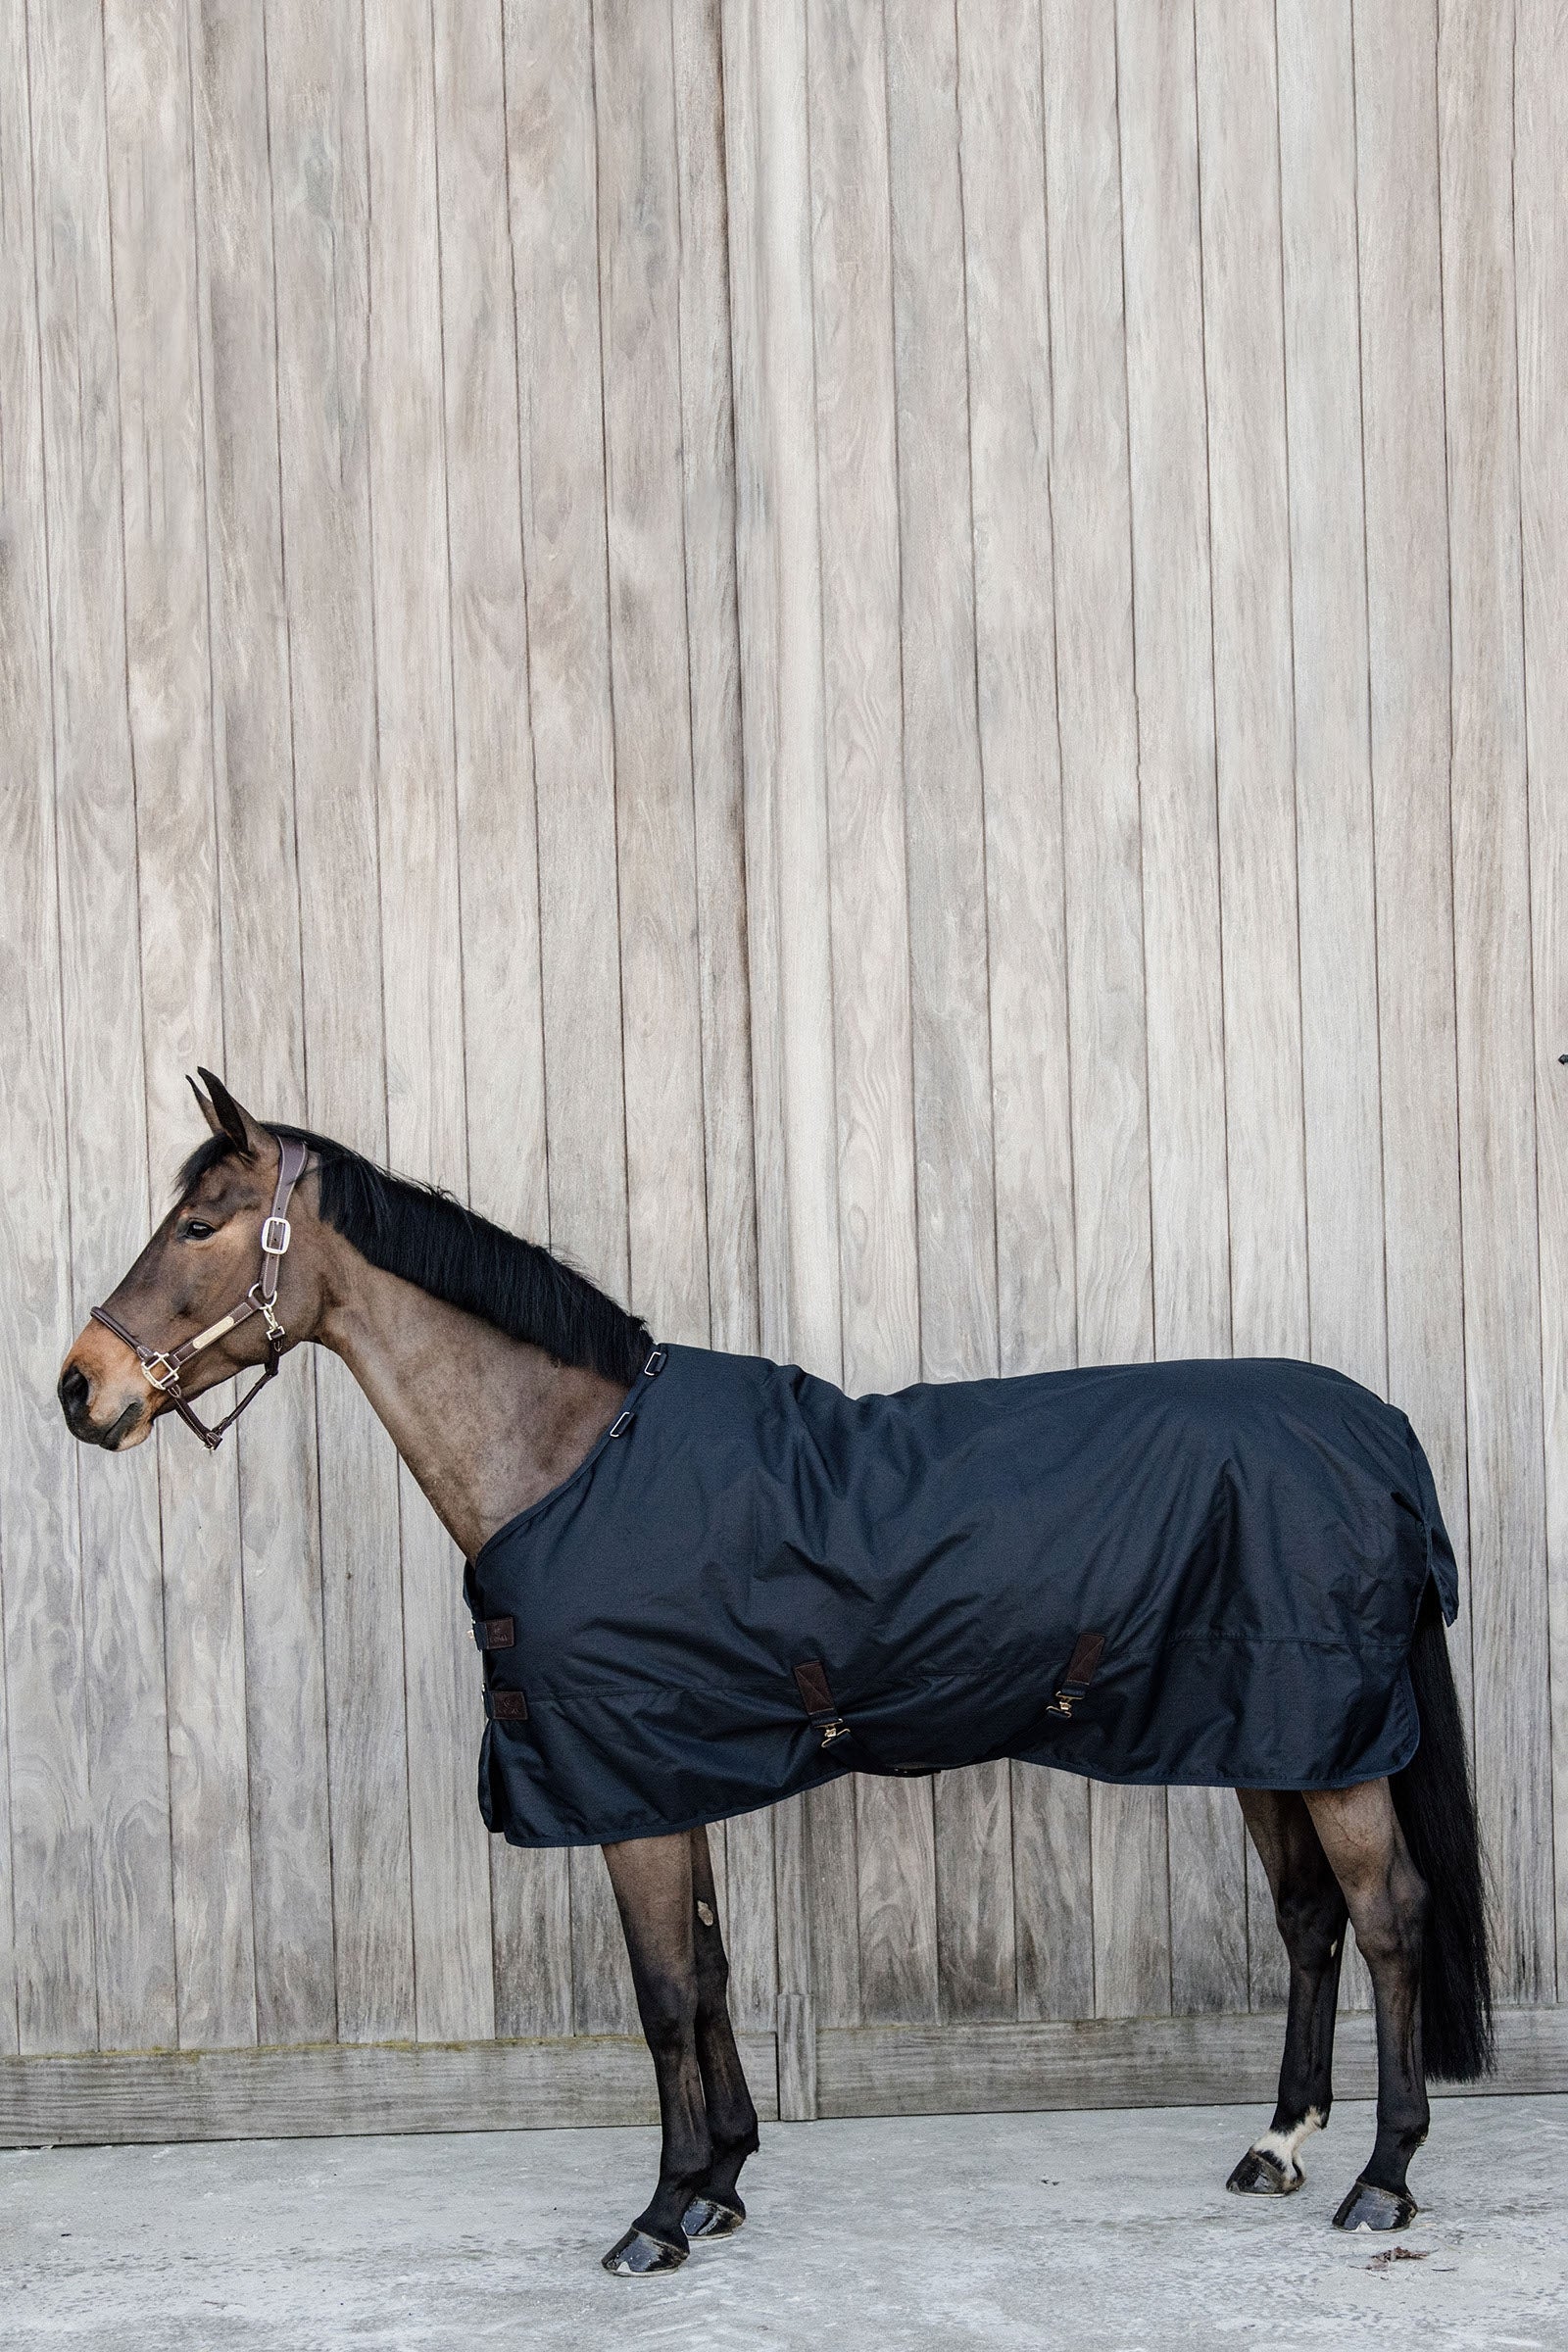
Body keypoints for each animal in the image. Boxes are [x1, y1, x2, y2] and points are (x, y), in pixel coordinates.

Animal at [58, 1070, 1493, 2274]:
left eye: (200, 1223)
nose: (82, 1390)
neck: (575, 1461)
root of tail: (1377, 1429)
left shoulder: (625, 1788)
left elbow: (661, 1994)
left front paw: (658, 2214)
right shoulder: (664, 1775)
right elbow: (710, 1972)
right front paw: (722, 2183)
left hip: (1329, 1744)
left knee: (1389, 1919)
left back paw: (1382, 2178)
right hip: (1268, 1735)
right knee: (1308, 1921)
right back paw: (1277, 2146)